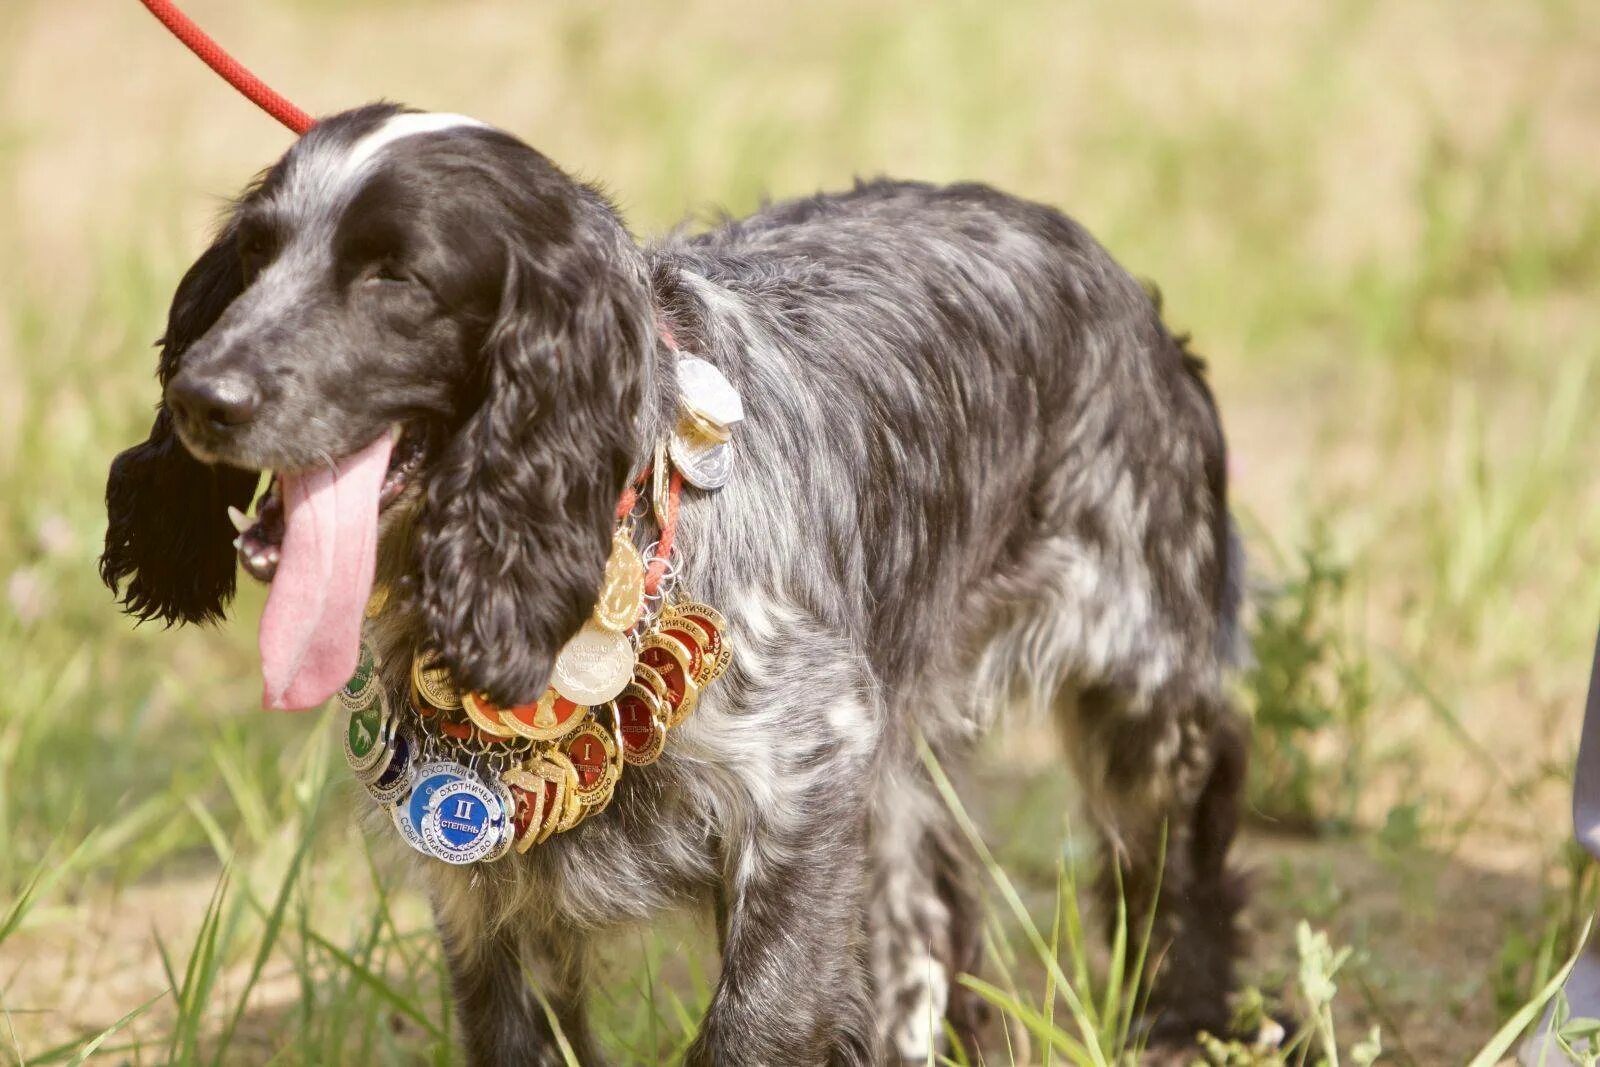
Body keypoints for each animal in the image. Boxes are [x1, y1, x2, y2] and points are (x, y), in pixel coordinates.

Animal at [100, 102, 1248, 1067]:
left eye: (396, 277)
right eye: (252, 257)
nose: (202, 396)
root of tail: (1111, 274)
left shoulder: (807, 771)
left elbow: (756, 1022)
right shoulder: (487, 888)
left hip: (1141, 686)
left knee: (1178, 853)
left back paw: (1186, 1018)